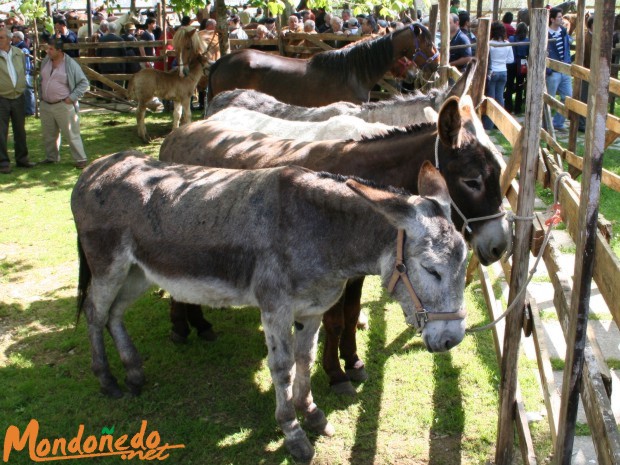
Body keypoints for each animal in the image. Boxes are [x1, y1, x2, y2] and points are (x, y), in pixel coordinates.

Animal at [160, 96, 508, 394]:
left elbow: (351, 315)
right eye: (472, 181)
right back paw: (182, 326)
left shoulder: (357, 272)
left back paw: (198, 322)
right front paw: (336, 374)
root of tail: (180, 132)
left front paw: (352, 361)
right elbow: (334, 320)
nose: (500, 247)